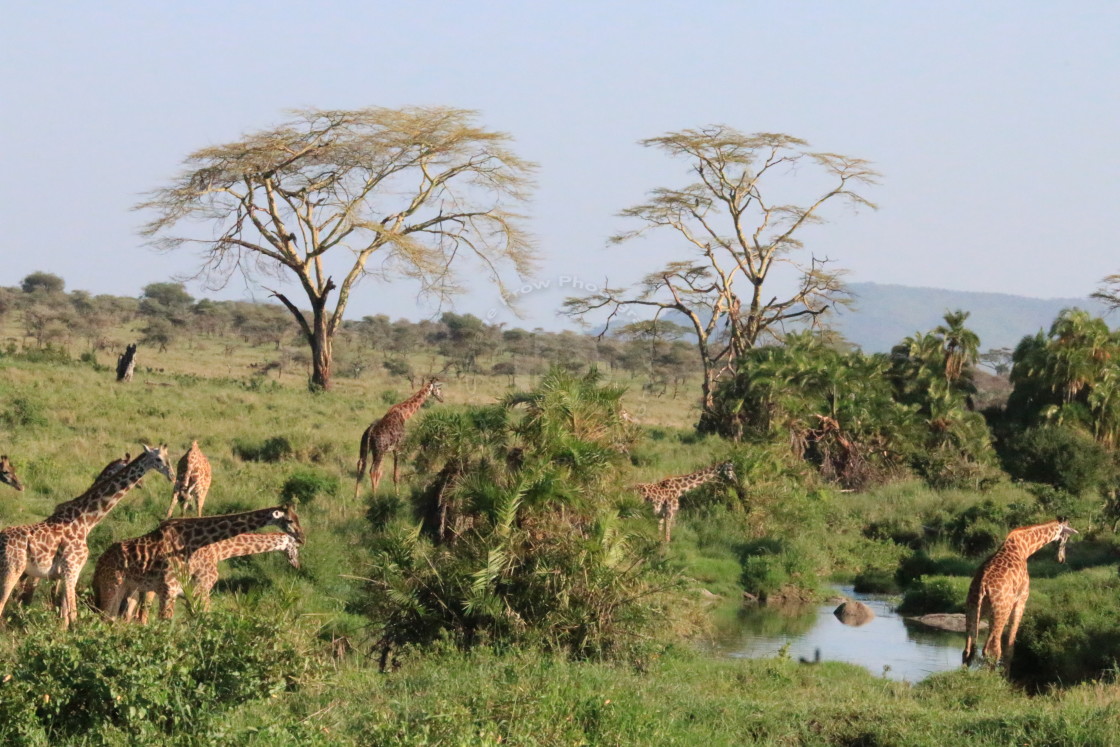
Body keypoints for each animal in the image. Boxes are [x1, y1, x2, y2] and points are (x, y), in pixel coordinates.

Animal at [0, 447, 174, 627]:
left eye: (168, 457)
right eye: (159, 459)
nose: (171, 475)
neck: (85, 521)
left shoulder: (67, 573)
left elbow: (65, 612)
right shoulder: (71, 569)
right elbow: (72, 614)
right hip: (13, 569)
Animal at [94, 506, 304, 622]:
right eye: (289, 520)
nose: (302, 538)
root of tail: (99, 562)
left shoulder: (189, 592)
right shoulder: (182, 588)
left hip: (130, 590)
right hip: (113, 587)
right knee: (109, 617)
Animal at [963, 517, 1075, 667]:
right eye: (1066, 536)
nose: (1061, 559)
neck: (1025, 547)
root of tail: (982, 587)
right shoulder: (1021, 600)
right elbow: (1010, 645)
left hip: (971, 609)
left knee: (968, 651)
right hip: (1000, 614)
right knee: (993, 650)